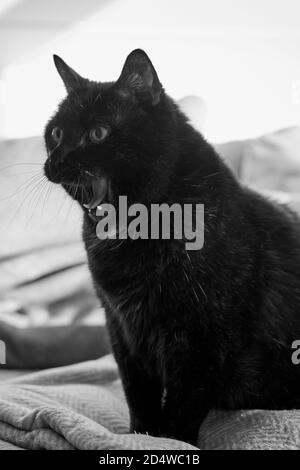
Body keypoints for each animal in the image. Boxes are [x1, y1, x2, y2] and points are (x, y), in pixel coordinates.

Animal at [43, 48, 300, 444]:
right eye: (56, 132)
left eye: (98, 133)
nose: (54, 161)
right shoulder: (121, 328)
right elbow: (138, 392)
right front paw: (139, 436)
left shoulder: (203, 338)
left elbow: (183, 404)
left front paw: (171, 440)